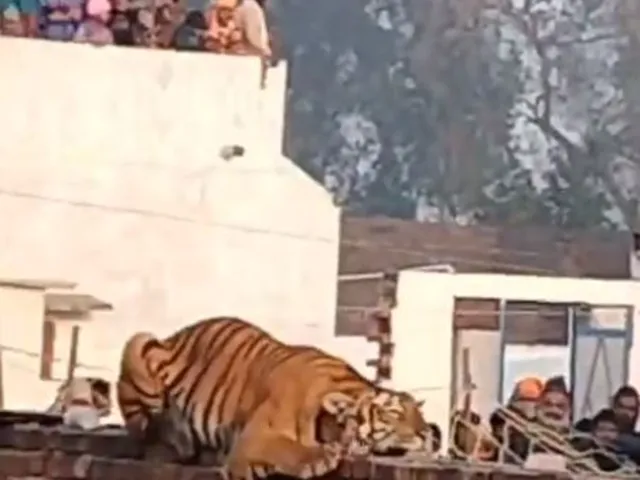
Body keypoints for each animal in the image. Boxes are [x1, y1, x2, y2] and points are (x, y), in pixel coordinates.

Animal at [117, 316, 430, 478]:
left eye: (420, 414)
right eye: (393, 413)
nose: (428, 434)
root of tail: (173, 336)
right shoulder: (254, 438)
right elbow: (286, 448)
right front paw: (318, 458)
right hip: (140, 341)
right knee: (144, 435)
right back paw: (175, 442)